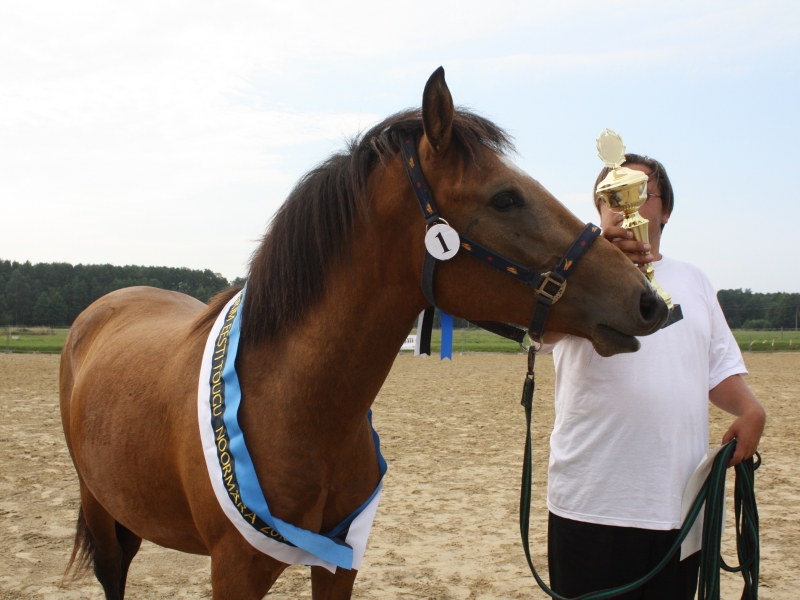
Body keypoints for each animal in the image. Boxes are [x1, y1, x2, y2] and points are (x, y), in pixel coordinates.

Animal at [59, 68, 664, 596]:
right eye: (505, 197)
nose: (647, 300)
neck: (291, 403)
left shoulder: (340, 563)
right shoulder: (234, 572)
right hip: (100, 510)